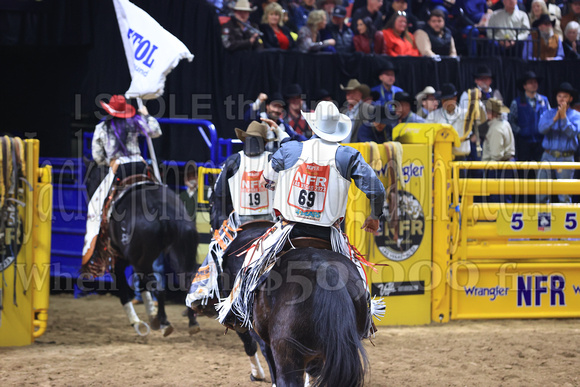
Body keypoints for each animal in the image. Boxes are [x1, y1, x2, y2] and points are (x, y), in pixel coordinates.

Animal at [84, 161, 199, 336]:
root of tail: (161, 208)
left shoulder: (118, 259)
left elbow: (125, 289)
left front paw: (138, 322)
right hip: (180, 254)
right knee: (186, 282)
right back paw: (191, 323)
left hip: (141, 261)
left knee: (156, 286)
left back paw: (163, 321)